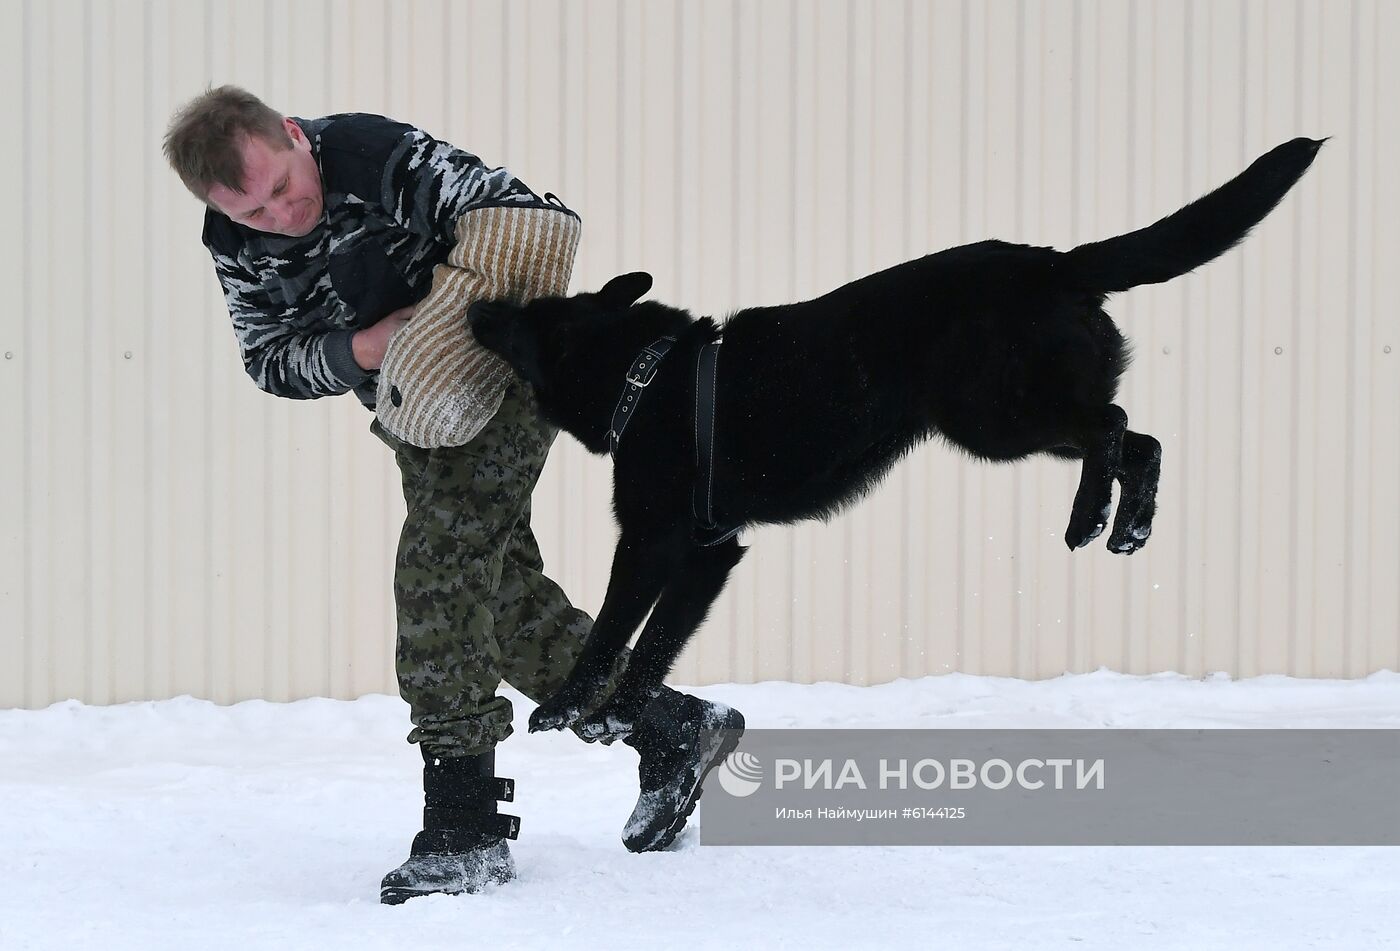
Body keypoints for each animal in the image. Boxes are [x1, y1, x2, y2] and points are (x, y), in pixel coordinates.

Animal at [467, 137, 1321, 739]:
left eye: (521, 322)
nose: (475, 309)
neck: (647, 374)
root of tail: (1056, 264)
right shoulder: (711, 555)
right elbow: (654, 643)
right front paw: (616, 714)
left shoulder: (654, 541)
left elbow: (616, 630)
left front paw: (573, 709)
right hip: (1008, 421)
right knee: (1142, 440)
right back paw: (1126, 527)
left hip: (991, 418)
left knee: (1111, 427)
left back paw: (1086, 520)